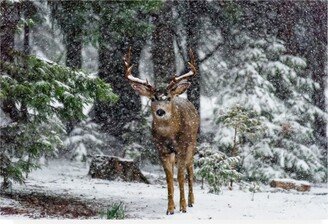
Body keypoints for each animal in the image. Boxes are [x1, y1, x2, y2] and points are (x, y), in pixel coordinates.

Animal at [123, 48, 199, 214]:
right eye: (152, 99)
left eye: (168, 98)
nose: (160, 111)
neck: (169, 135)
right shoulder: (161, 150)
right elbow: (169, 178)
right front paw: (170, 208)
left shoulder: (182, 147)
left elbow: (181, 176)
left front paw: (183, 207)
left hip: (192, 144)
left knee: (190, 171)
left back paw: (191, 201)